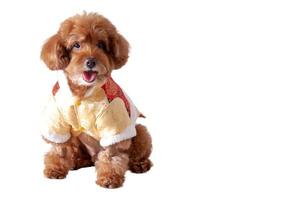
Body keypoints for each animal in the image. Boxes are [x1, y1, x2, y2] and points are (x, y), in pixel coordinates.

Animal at [40, 12, 152, 189]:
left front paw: (109, 178)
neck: (82, 93)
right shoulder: (57, 122)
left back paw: (140, 165)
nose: (91, 61)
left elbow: (111, 155)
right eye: (76, 45)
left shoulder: (114, 124)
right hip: (77, 140)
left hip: (140, 132)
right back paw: (78, 161)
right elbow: (59, 148)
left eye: (101, 44)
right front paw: (55, 169)